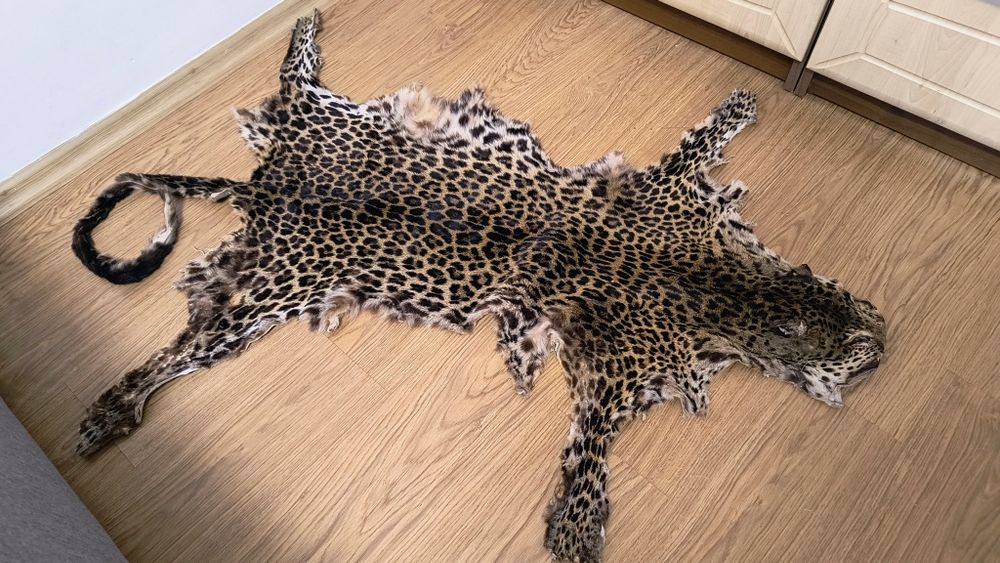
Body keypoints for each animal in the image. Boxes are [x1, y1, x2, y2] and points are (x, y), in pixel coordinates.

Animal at [71, 11, 886, 562]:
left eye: (865, 321)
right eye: (860, 347)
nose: (888, 344)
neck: (734, 289)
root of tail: (267, 184)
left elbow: (704, 142)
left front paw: (740, 106)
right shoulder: (610, 372)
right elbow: (588, 460)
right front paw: (576, 533)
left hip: (301, 203)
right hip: (273, 267)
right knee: (182, 343)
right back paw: (107, 412)